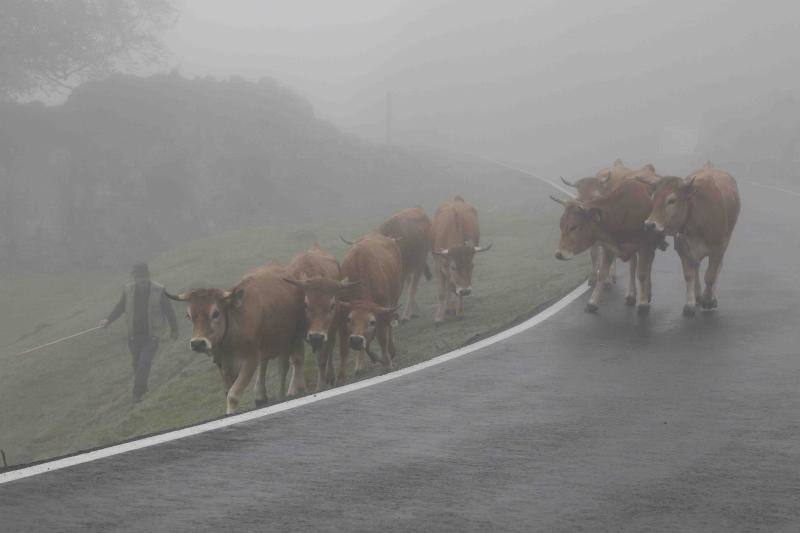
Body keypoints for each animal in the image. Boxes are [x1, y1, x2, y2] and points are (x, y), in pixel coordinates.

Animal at [167, 264, 304, 414]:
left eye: (216, 313)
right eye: (189, 315)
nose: (198, 343)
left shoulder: (250, 360)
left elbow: (233, 394)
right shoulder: (222, 364)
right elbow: (228, 391)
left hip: (294, 335)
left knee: (292, 363)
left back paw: (291, 391)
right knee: (266, 363)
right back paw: (261, 395)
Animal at [282, 245, 356, 390]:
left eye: (332, 305)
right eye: (306, 304)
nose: (316, 336)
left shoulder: (328, 332)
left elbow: (322, 360)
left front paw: (321, 385)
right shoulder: (294, 335)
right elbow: (297, 360)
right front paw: (294, 388)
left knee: (330, 351)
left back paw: (330, 375)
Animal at [338, 231, 404, 380]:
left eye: (372, 322)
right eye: (349, 319)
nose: (356, 341)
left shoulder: (383, 310)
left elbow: (382, 338)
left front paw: (387, 362)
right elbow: (351, 347)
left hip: (394, 300)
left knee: (389, 327)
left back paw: (391, 351)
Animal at [552, 177, 660, 314]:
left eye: (574, 227)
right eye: (561, 225)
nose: (559, 254)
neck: (621, 213)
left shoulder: (645, 245)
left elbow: (642, 273)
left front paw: (643, 303)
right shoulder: (609, 246)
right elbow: (602, 273)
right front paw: (593, 302)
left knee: (647, 266)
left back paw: (647, 293)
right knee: (632, 266)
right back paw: (631, 294)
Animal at [640, 162, 740, 316]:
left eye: (672, 200)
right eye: (653, 198)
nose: (650, 225)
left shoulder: (717, 250)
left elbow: (710, 276)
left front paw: (707, 299)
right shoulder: (683, 249)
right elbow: (689, 275)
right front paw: (690, 304)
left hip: (726, 241)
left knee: (718, 268)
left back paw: (711, 297)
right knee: (696, 266)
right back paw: (698, 295)